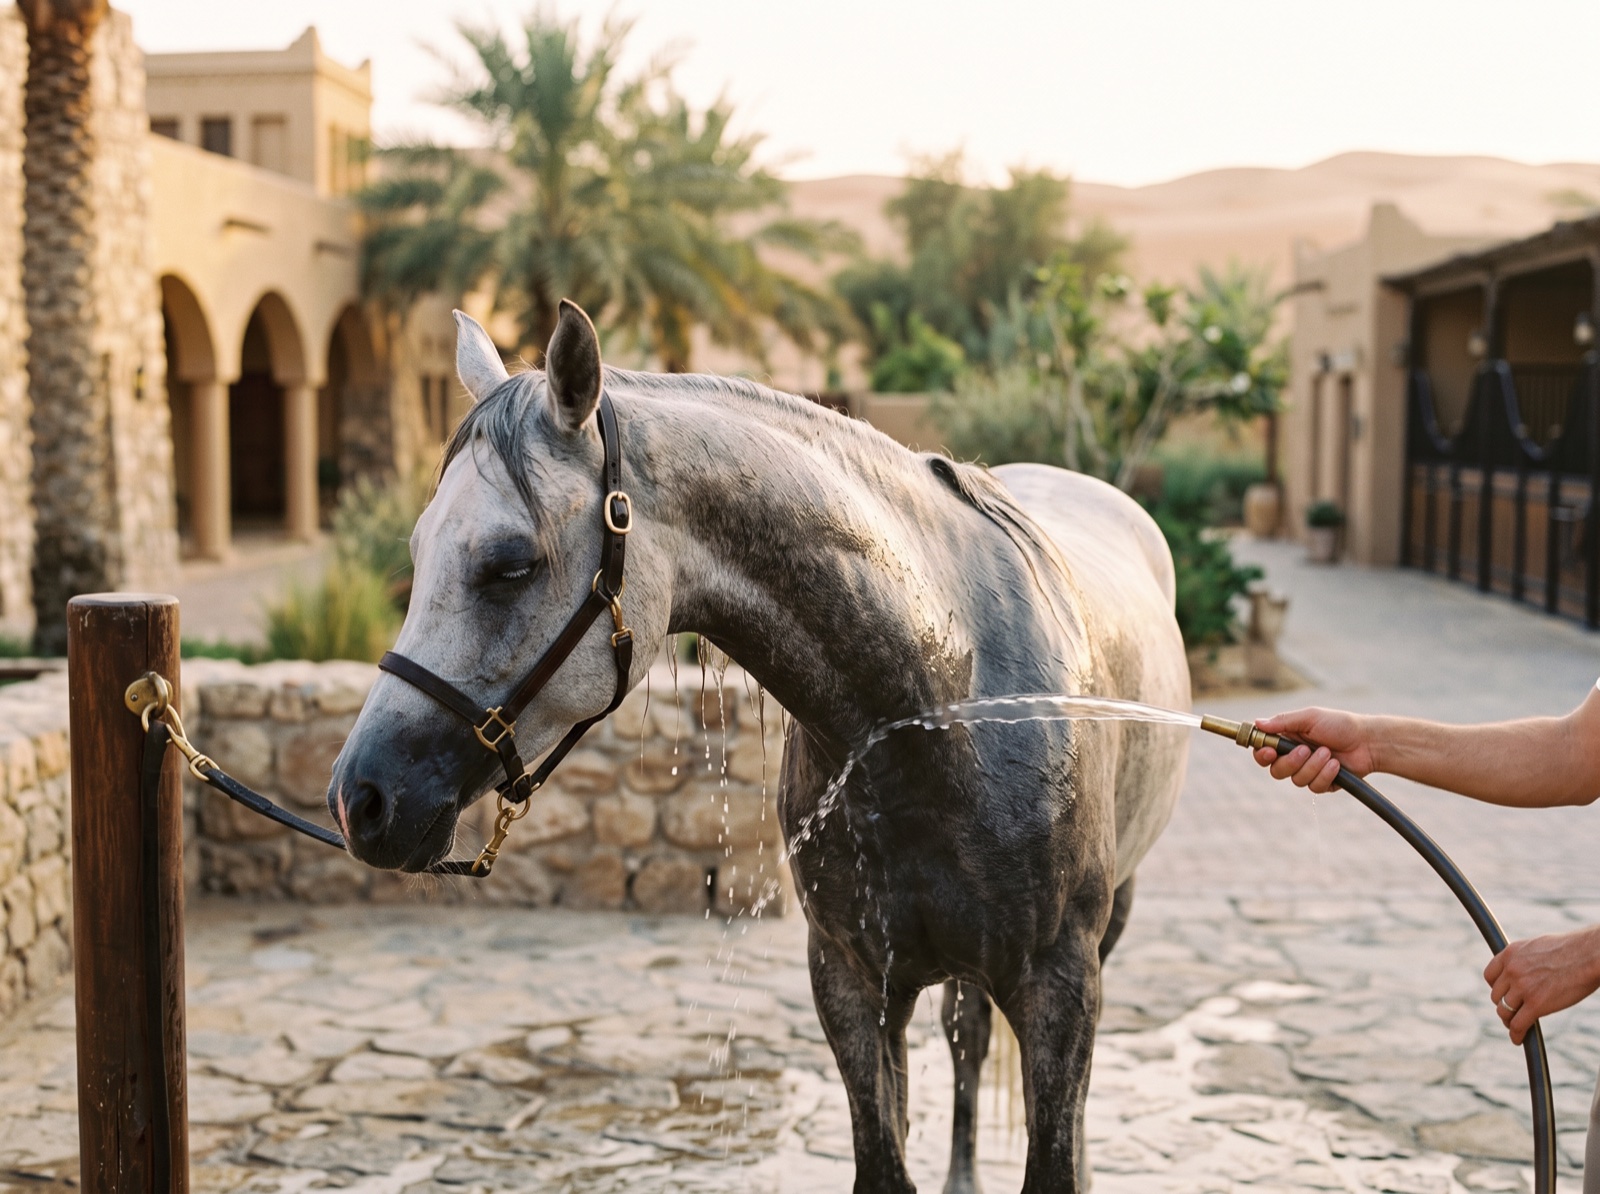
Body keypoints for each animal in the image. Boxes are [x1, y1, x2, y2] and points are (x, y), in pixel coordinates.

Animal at [329, 300, 1190, 1193]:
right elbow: (886, 1160)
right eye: (417, 550)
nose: (362, 798)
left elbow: (1052, 1151)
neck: (945, 704)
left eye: (509, 564)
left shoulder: (1059, 983)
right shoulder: (852, 981)